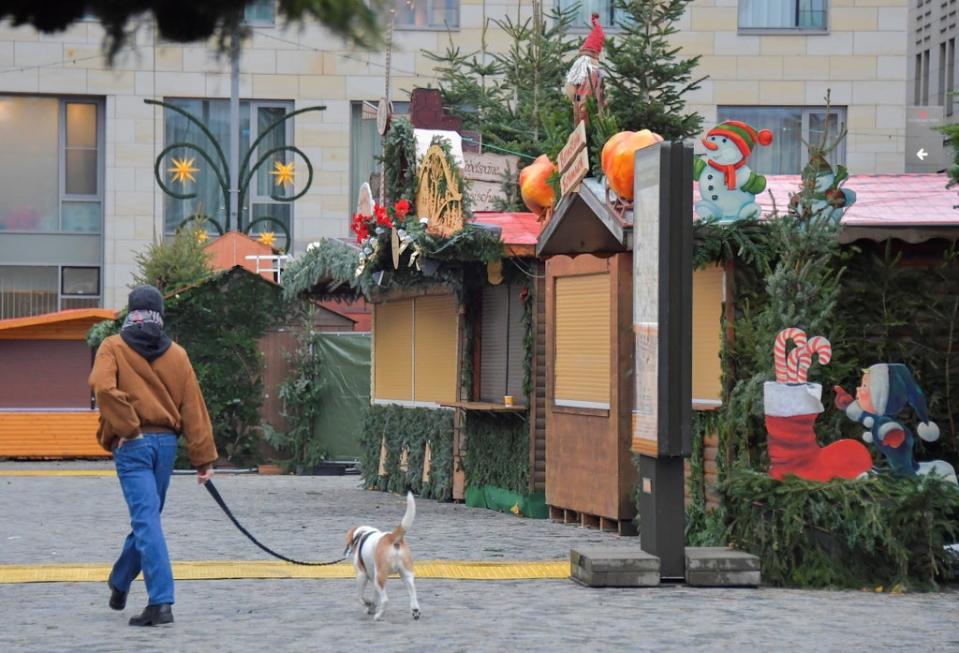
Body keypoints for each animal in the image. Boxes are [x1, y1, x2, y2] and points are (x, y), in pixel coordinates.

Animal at [344, 492, 420, 620]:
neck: (363, 534)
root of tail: (393, 537)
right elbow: (374, 598)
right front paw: (371, 607)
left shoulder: (361, 575)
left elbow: (359, 596)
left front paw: (367, 604)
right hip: (406, 576)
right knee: (413, 594)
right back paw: (415, 611)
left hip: (379, 577)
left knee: (385, 600)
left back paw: (378, 616)